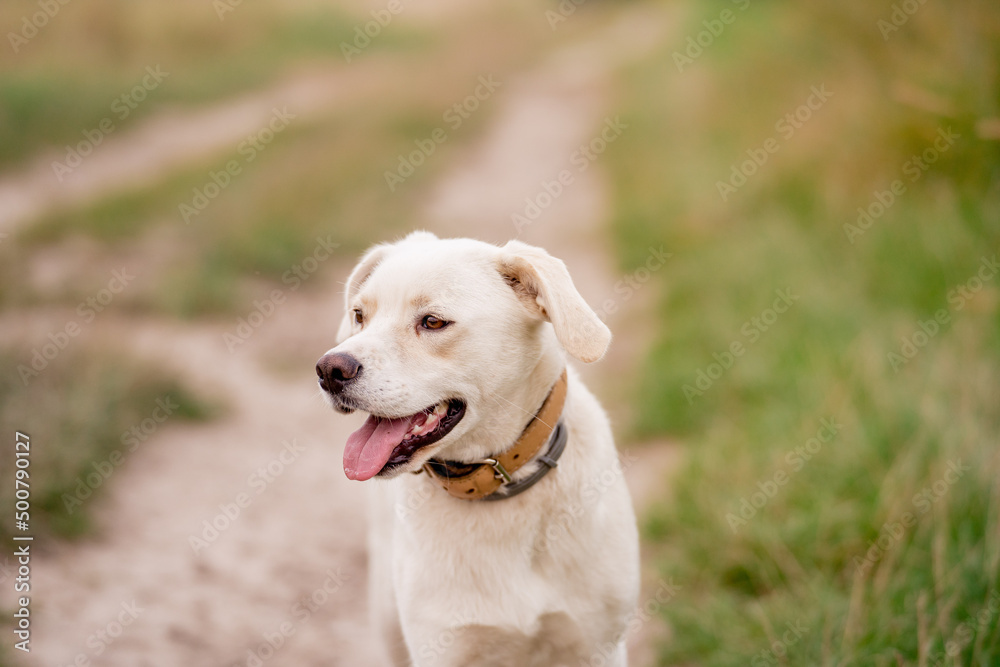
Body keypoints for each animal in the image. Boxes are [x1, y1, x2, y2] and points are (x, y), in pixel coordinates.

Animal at [316, 232, 636, 664]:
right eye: (359, 316)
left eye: (433, 322)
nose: (329, 370)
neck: (501, 486)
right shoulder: (443, 647)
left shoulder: (598, 644)